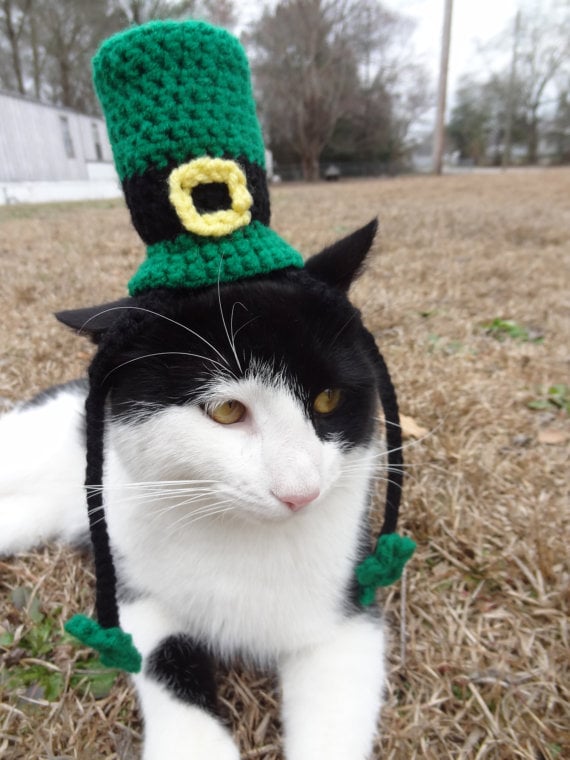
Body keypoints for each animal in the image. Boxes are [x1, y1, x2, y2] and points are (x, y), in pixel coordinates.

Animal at [0, 221, 400, 760]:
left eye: (328, 398)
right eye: (226, 410)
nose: (301, 493)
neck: (242, 538)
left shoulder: (349, 613)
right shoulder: (135, 586)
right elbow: (164, 658)